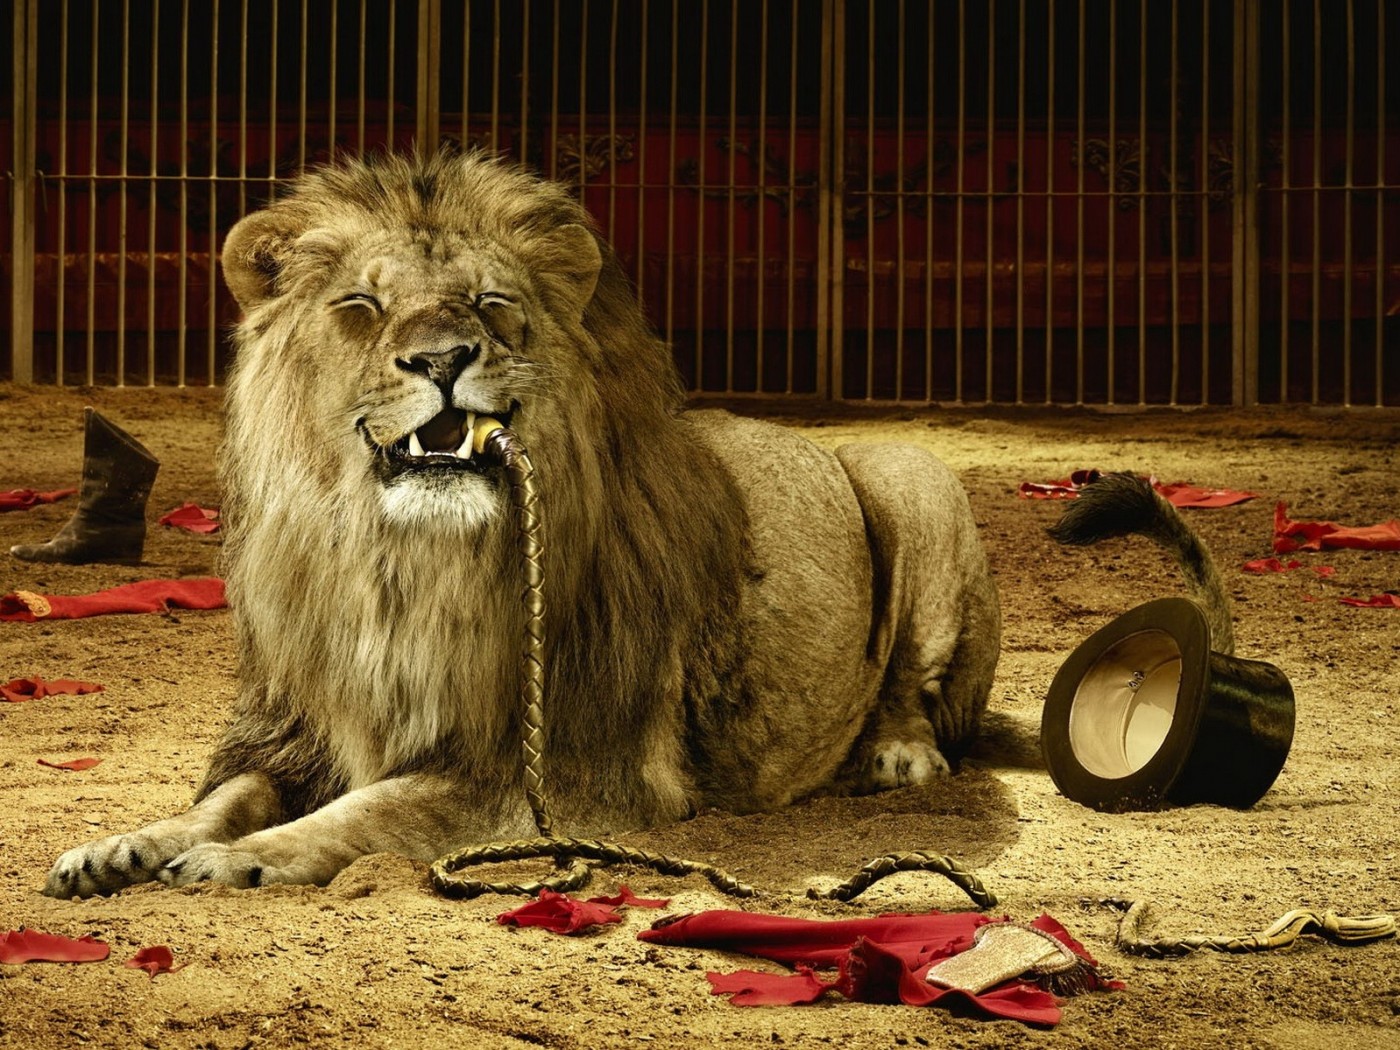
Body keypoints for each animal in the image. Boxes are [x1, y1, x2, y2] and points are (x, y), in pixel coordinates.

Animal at [43, 152, 1001, 898]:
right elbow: (223, 798)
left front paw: (243, 859)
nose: (441, 358)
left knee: (914, 682)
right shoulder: (296, 730)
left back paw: (899, 758)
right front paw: (124, 845)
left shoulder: (567, 772)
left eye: (490, 301)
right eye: (360, 306)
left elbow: (372, 810)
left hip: (909, 473)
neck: (401, 566)